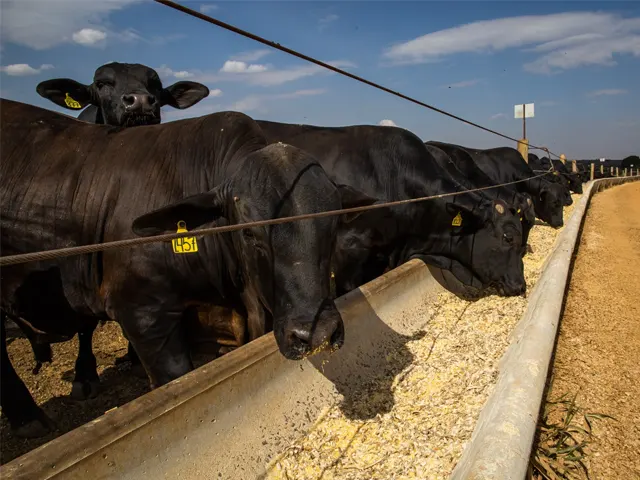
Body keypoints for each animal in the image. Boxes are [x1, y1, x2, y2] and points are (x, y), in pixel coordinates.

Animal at [0, 100, 364, 438]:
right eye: (249, 232)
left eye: (333, 224)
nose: (318, 335)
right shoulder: (143, 315)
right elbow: (175, 379)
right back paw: (30, 418)